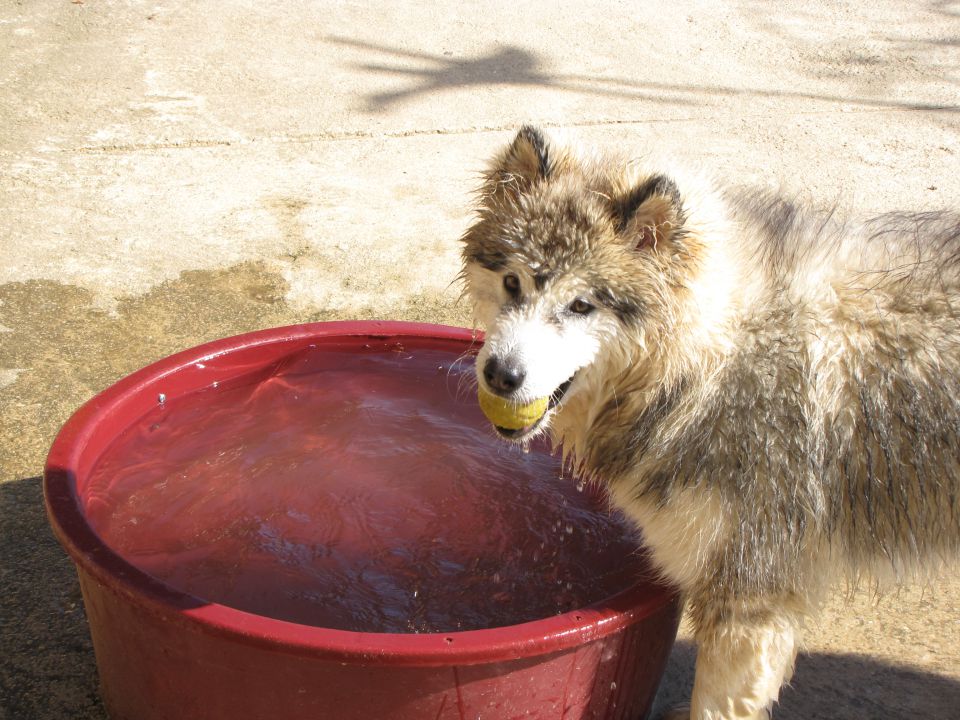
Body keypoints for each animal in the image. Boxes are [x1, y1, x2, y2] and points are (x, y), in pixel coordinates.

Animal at [458, 128, 960, 720]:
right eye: (512, 282)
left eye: (581, 305)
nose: (501, 375)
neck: (706, 358)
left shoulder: (748, 594)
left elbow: (717, 703)